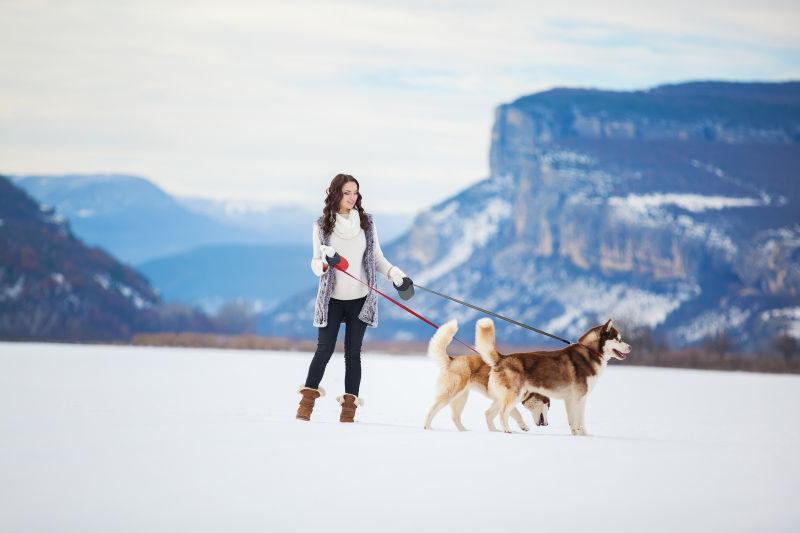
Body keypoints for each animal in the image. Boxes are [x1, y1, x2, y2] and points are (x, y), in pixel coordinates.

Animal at [424, 318, 552, 430]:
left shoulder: (499, 400)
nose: (547, 424)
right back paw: (428, 428)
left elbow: (490, 414)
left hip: (461, 398)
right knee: (432, 409)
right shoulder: (506, 399)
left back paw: (464, 431)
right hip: (451, 393)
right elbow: (512, 414)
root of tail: (452, 360)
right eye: (548, 405)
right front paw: (521, 427)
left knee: (455, 417)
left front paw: (494, 430)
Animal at [478, 316, 628, 432]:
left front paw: (576, 436)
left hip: (503, 397)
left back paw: (495, 431)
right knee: (503, 414)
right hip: (514, 395)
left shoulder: (570, 399)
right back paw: (507, 430)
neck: (590, 352)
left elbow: (573, 423)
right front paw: (585, 437)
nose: (630, 347)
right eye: (618, 339)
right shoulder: (580, 398)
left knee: (488, 413)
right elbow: (580, 422)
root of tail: (502, 358)